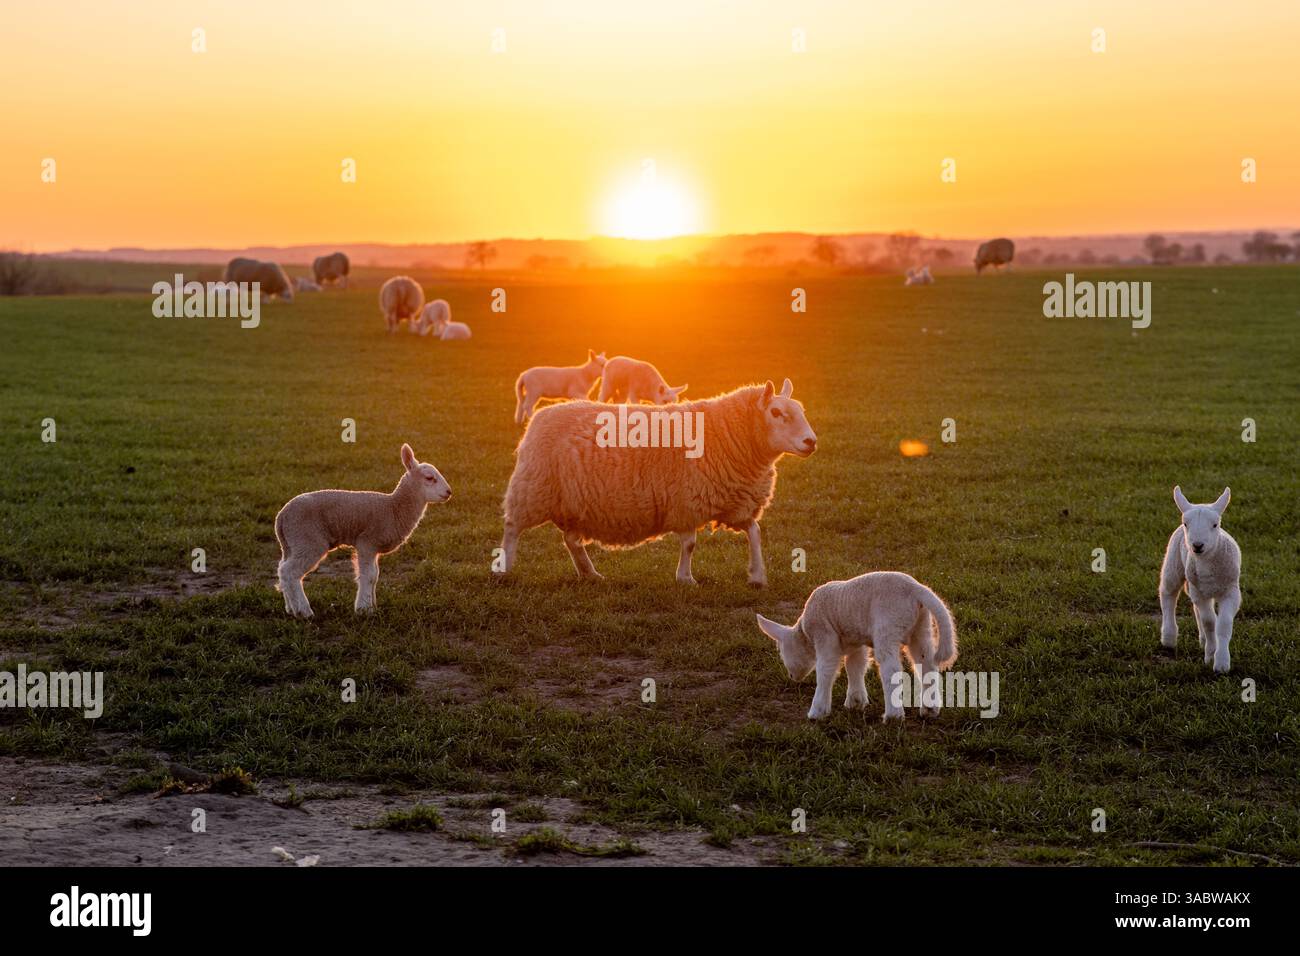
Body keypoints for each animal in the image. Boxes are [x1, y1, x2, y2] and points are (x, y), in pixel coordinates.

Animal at [275, 443, 451, 618]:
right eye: (429, 478)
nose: (449, 492)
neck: (393, 509)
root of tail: (281, 516)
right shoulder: (367, 542)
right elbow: (369, 575)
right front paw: (364, 609)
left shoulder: (374, 547)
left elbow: (375, 575)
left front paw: (373, 606)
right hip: (308, 539)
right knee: (290, 572)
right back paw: (304, 611)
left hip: (292, 543)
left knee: (282, 569)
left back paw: (290, 608)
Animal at [497, 378, 816, 586]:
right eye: (776, 412)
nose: (810, 442)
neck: (726, 433)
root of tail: (540, 416)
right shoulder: (687, 500)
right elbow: (690, 544)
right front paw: (686, 578)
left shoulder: (734, 501)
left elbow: (755, 532)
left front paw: (757, 575)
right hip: (532, 489)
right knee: (512, 528)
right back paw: (505, 568)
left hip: (575, 503)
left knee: (571, 541)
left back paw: (590, 573)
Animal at [755, 571, 957, 721]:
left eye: (782, 652)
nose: (792, 677)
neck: (805, 633)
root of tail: (917, 589)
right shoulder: (855, 641)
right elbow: (855, 667)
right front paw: (856, 701)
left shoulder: (825, 635)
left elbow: (826, 671)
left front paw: (817, 712)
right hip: (921, 627)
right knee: (926, 664)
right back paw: (930, 709)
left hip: (889, 623)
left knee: (890, 668)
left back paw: (893, 716)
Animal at [1159, 486, 1241, 673]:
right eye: (1186, 524)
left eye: (1215, 524)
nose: (1197, 545)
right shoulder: (1200, 593)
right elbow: (1209, 622)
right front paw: (1211, 655)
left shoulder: (1231, 591)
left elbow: (1223, 624)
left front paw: (1221, 662)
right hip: (1173, 564)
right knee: (1168, 595)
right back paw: (1169, 637)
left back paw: (1202, 640)